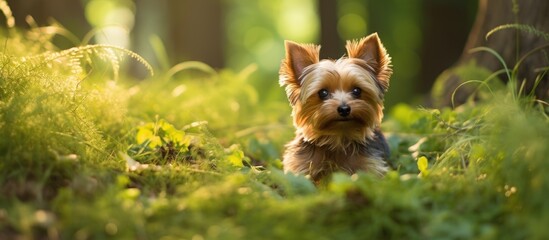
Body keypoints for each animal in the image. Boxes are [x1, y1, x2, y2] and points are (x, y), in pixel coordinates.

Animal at [280, 32, 392, 183]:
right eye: (323, 93)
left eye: (357, 91)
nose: (344, 109)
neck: (338, 138)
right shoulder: (302, 166)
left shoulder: (370, 167)